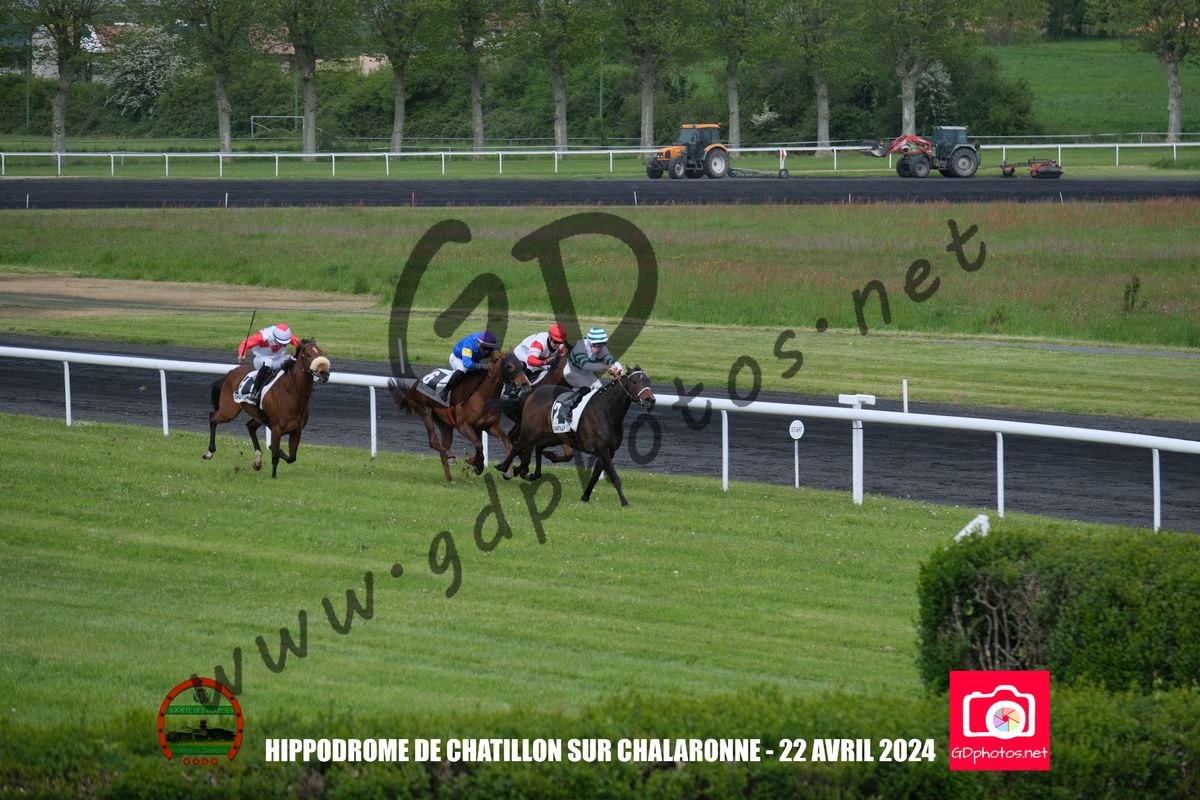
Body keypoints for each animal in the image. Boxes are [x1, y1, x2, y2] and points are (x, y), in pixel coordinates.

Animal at [203, 339, 331, 478]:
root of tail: (231, 372)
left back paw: (257, 461)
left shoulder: (297, 430)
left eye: (321, 352)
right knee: (212, 417)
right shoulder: (276, 429)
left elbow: (291, 457)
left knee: (250, 426)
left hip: (258, 416)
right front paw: (273, 477)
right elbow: (275, 456)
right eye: (307, 354)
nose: (324, 373)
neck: (292, 393)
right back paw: (209, 452)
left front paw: (276, 453)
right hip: (229, 411)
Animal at [392, 352, 531, 482]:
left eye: (522, 364)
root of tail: (416, 384)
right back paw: (450, 456)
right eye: (509, 365)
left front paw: (508, 471)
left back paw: (450, 479)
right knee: (433, 441)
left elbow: (504, 440)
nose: (525, 383)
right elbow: (479, 445)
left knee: (444, 446)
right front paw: (475, 463)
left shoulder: (490, 426)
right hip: (424, 411)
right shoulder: (463, 427)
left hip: (444, 424)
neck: (482, 396)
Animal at [495, 367, 655, 507]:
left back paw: (533, 470)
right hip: (531, 431)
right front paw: (624, 502)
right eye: (634, 382)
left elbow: (595, 476)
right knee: (518, 445)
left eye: (648, 381)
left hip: (555, 435)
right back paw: (504, 467)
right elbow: (614, 476)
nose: (650, 400)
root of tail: (534, 393)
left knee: (538, 446)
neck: (607, 411)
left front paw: (585, 497)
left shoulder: (608, 451)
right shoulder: (602, 449)